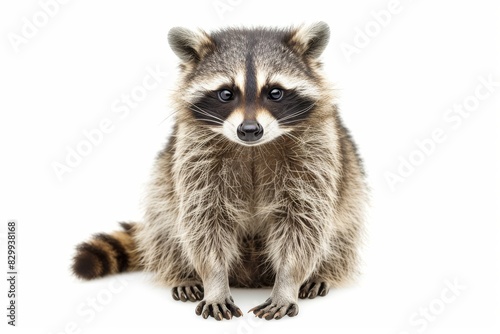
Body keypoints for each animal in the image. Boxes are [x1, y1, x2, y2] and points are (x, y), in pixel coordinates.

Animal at [71, 22, 368, 320]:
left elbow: (304, 221)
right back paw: (183, 273)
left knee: (342, 233)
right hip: (161, 185)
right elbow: (203, 219)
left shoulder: (317, 151)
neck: (252, 147)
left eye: (275, 92)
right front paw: (213, 280)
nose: (249, 130)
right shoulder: (194, 153)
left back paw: (321, 273)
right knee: (164, 225)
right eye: (226, 93)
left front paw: (287, 281)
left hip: (350, 193)